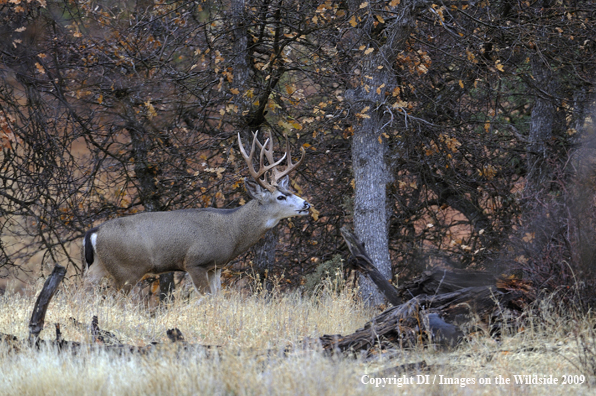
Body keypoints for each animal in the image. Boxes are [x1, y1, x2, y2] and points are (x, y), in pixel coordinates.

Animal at [82, 131, 312, 296]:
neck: (232, 231)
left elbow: (218, 297)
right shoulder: (195, 262)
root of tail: (94, 231)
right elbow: (207, 298)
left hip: (99, 267)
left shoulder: (216, 266)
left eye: (289, 191)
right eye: (280, 197)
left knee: (82, 292)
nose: (307, 204)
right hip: (126, 271)